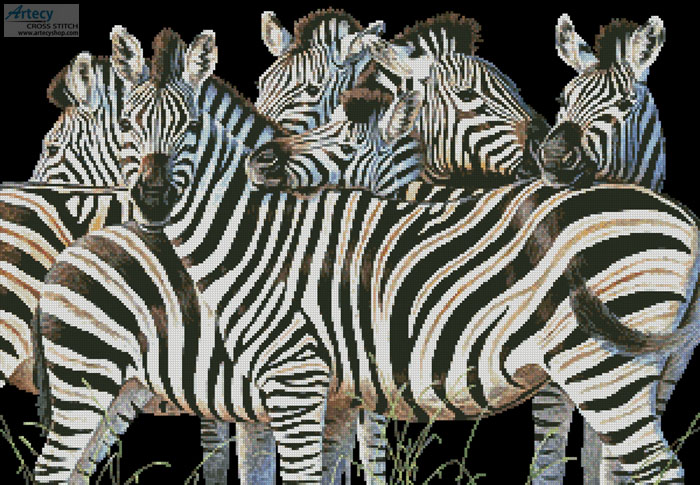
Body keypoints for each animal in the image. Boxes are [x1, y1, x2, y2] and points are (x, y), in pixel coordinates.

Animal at [31, 26, 700, 485]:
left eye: (190, 129)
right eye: (129, 129)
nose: (150, 197)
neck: (254, 236)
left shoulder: (299, 383)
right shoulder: (320, 392)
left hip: (603, 369)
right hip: (102, 383)